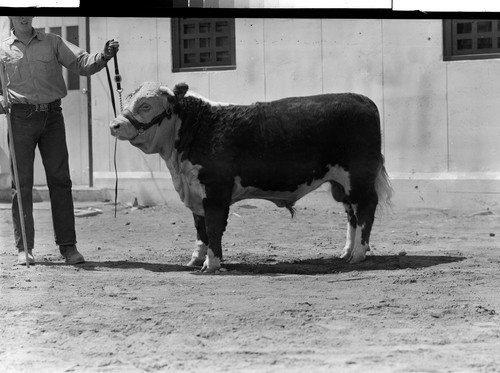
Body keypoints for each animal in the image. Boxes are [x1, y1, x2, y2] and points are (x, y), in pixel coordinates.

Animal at [108, 82, 390, 274]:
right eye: (129, 100)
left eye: (146, 105)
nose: (115, 125)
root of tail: (362, 99)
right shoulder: (195, 191)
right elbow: (201, 229)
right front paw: (196, 259)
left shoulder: (216, 190)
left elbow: (213, 227)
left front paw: (212, 264)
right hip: (341, 183)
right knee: (352, 213)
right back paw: (346, 251)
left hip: (358, 177)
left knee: (366, 208)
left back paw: (358, 254)